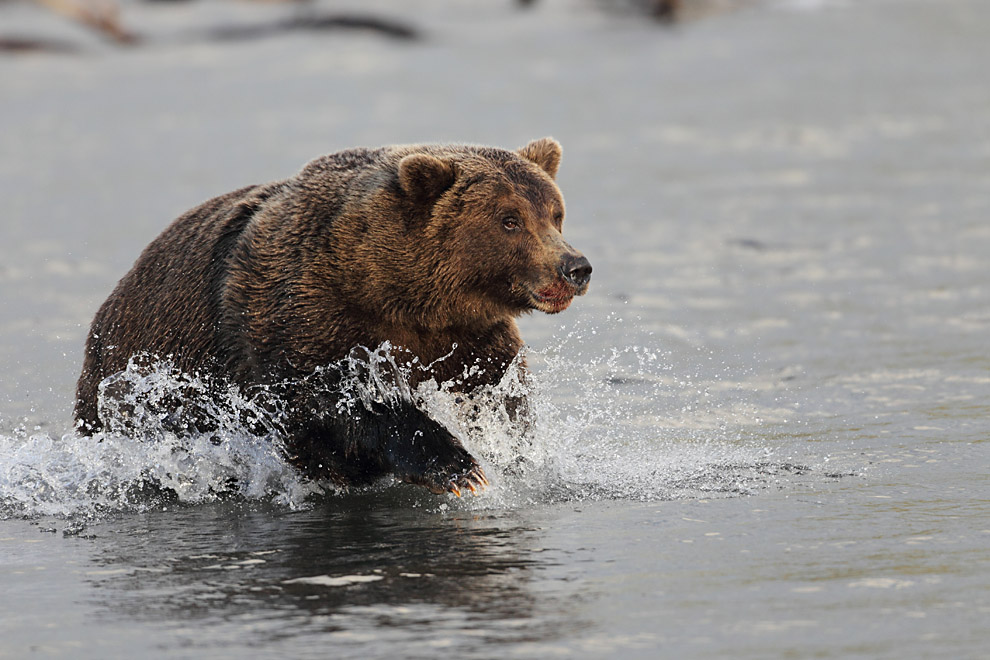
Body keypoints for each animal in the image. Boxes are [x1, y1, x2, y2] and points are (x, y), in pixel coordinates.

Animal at [75, 139, 596, 498]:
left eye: (555, 214)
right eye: (509, 219)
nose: (575, 268)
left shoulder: (468, 337)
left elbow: (499, 397)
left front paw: (513, 454)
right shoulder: (307, 316)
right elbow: (338, 405)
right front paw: (459, 468)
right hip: (137, 379)